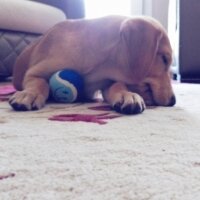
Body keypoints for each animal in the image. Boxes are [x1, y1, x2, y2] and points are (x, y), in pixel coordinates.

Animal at [9, 15, 175, 114]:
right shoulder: (34, 73)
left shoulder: (108, 81)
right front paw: (29, 94)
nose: (173, 101)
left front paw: (127, 95)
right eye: (164, 59)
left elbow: (117, 85)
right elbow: (39, 83)